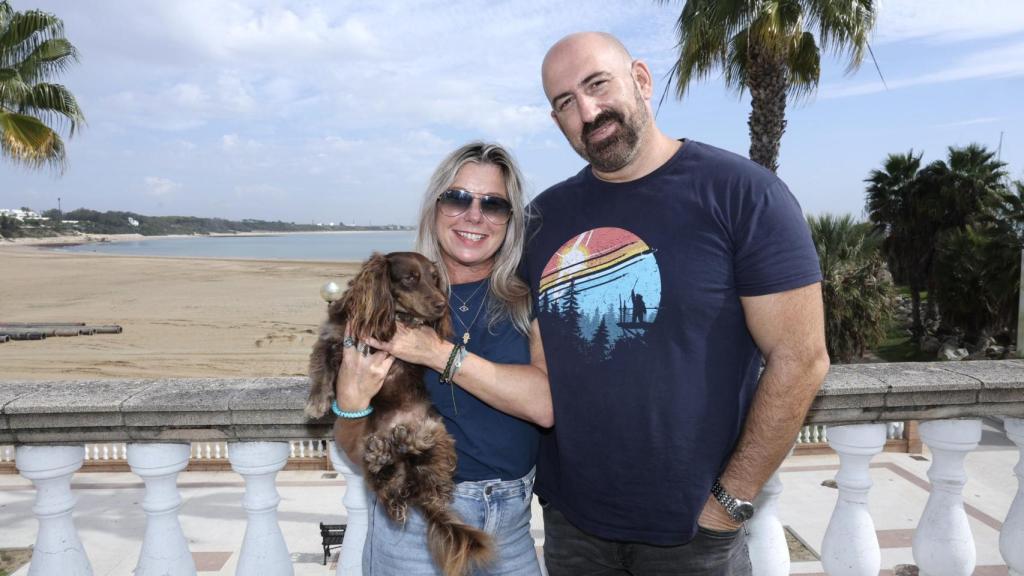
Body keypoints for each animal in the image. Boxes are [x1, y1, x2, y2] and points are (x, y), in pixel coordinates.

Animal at [303, 251, 491, 573]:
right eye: (410, 279)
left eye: (434, 278)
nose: (441, 305)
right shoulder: (333, 336)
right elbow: (321, 366)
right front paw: (317, 402)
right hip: (372, 454)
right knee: (391, 489)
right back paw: (387, 455)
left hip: (440, 434)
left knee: (431, 479)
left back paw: (413, 441)